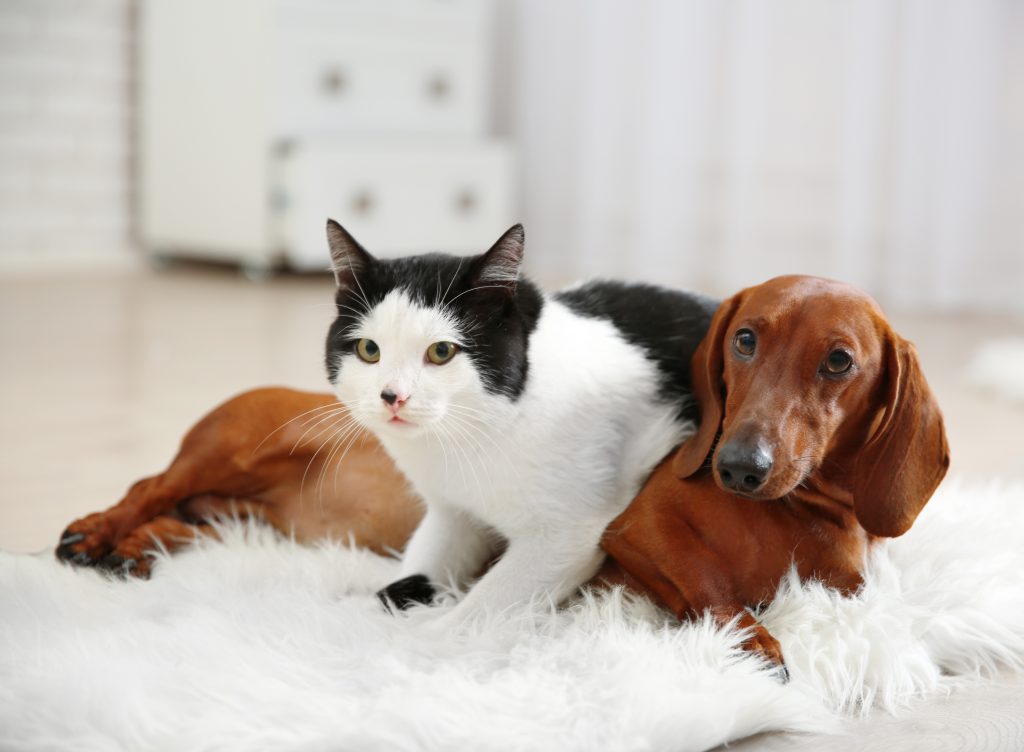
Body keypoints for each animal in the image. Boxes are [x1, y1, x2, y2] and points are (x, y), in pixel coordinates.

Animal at [323, 221, 716, 627]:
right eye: (369, 350)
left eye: (441, 351)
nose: (392, 396)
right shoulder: (451, 511)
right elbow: (425, 557)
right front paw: (360, 609)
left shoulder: (566, 533)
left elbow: (482, 607)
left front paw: (424, 633)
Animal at [598, 274, 950, 672]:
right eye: (745, 340)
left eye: (839, 360)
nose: (739, 467)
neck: (806, 507)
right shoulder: (639, 523)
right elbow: (701, 569)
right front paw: (747, 636)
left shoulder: (853, 584)